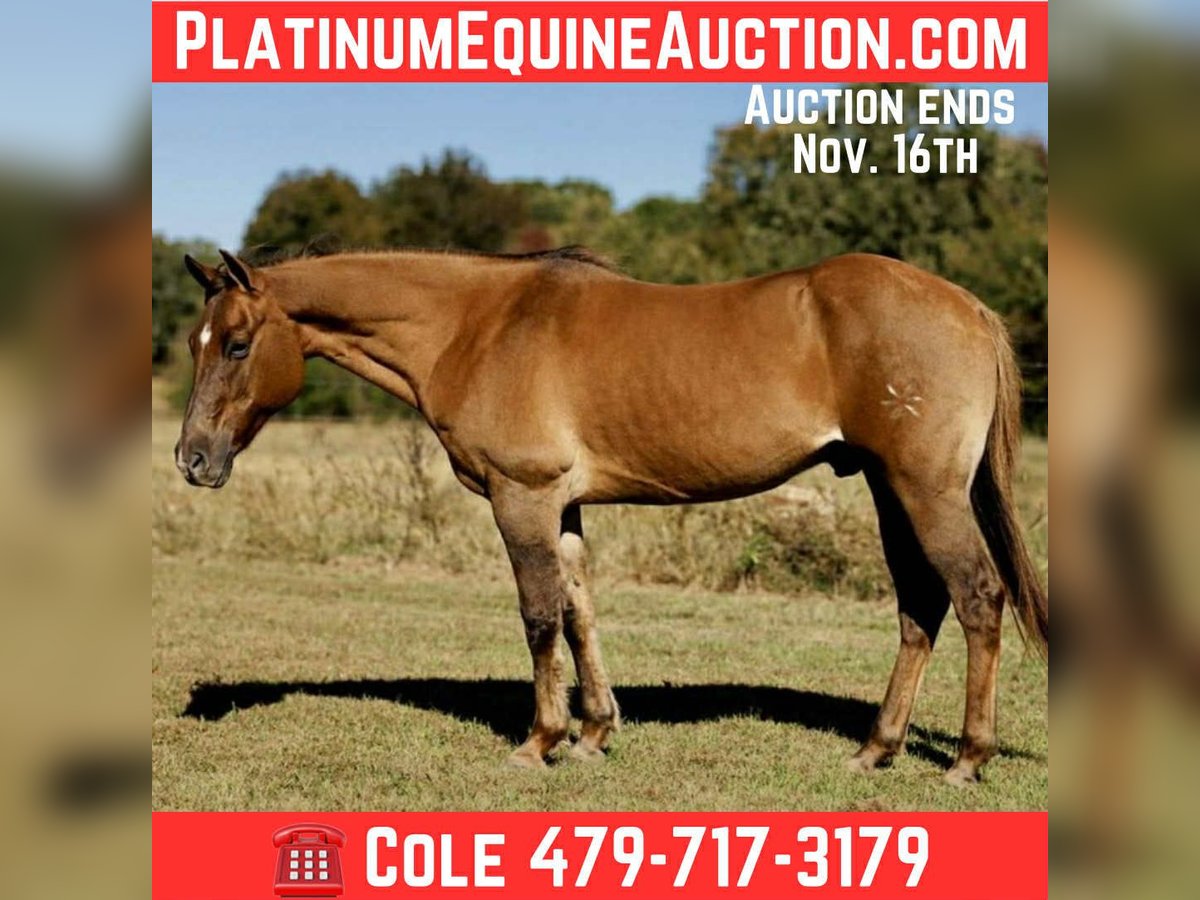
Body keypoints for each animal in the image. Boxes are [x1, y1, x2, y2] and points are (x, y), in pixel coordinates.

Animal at [175, 245, 1047, 785]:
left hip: (926, 489)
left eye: (238, 344)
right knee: (920, 607)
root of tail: (968, 307)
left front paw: (540, 740)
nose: (192, 458)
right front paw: (594, 731)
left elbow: (537, 616)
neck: (476, 325)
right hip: (888, 487)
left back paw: (967, 758)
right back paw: (877, 748)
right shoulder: (563, 507)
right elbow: (580, 613)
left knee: (976, 598)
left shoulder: (521, 496)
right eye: (195, 341)